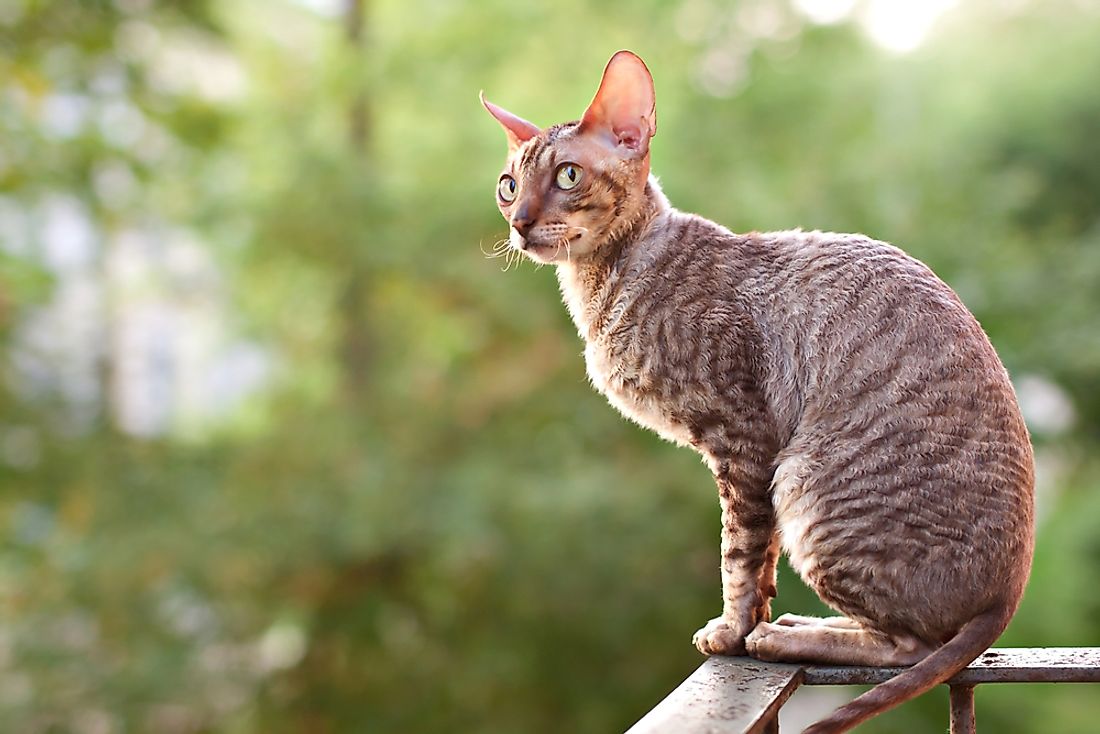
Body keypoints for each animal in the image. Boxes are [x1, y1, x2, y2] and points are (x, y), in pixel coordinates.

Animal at [479, 51, 1029, 734]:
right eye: (508, 184)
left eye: (568, 175)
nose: (520, 222)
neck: (601, 287)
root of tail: (1007, 593)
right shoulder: (751, 459)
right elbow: (760, 559)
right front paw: (753, 618)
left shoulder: (743, 438)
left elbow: (736, 553)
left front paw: (733, 631)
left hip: (809, 487)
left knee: (913, 646)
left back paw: (790, 636)